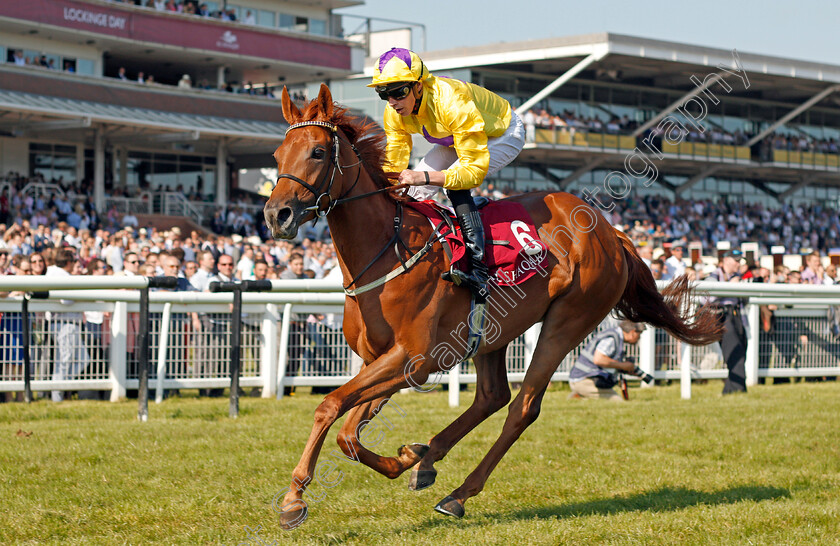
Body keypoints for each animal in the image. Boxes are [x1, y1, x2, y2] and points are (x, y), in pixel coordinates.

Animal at [264, 84, 720, 524]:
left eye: (318, 152)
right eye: (276, 155)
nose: (276, 215)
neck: (387, 250)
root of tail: (613, 233)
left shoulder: (414, 358)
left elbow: (331, 408)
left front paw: (295, 499)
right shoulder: (381, 359)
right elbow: (349, 428)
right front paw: (407, 457)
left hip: (569, 319)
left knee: (522, 407)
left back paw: (458, 494)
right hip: (493, 330)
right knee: (491, 396)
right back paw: (428, 460)